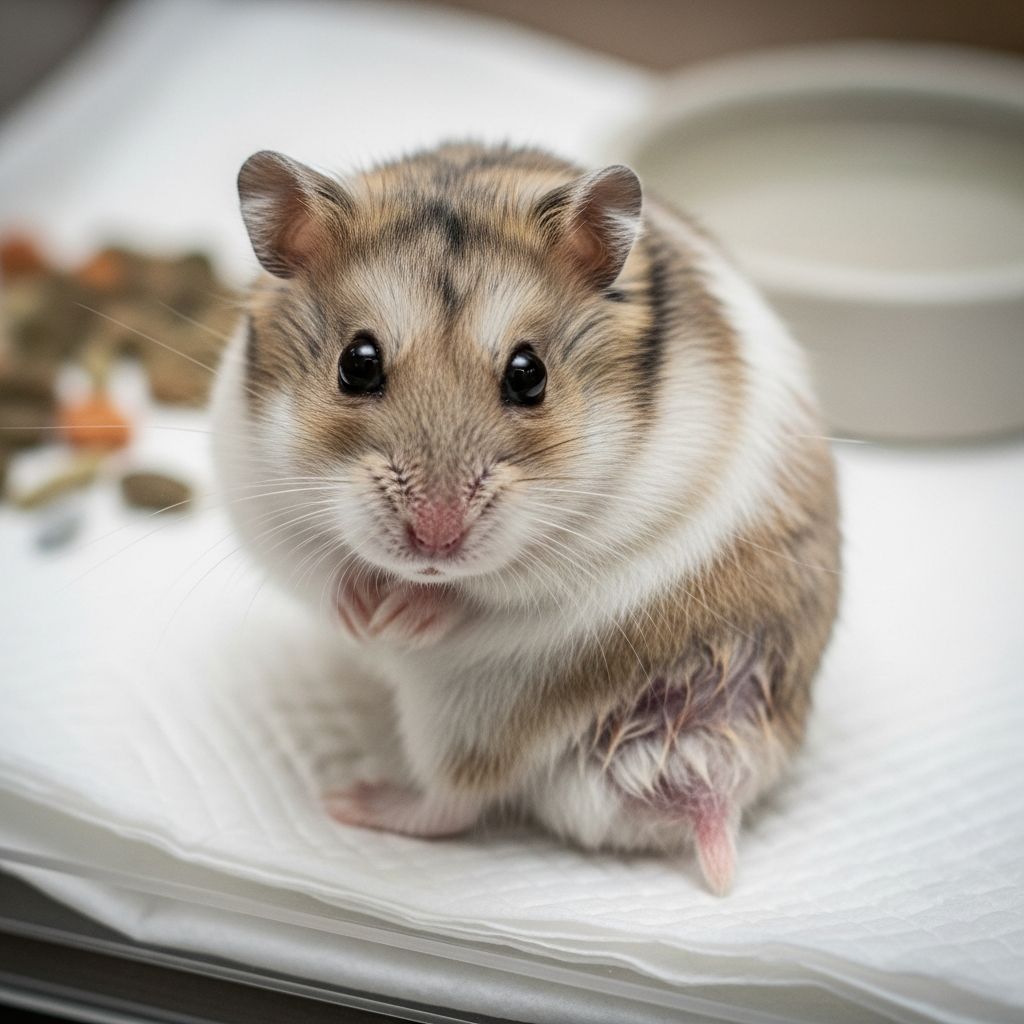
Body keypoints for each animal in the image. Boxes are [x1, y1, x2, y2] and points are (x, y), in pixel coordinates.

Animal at [211, 143, 840, 895]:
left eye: (528, 373)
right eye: (356, 364)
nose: (434, 539)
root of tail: (685, 751)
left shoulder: (634, 515)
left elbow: (501, 587)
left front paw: (403, 619)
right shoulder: (262, 498)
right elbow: (322, 565)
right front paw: (363, 616)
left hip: (473, 709)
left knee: (455, 800)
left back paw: (354, 801)